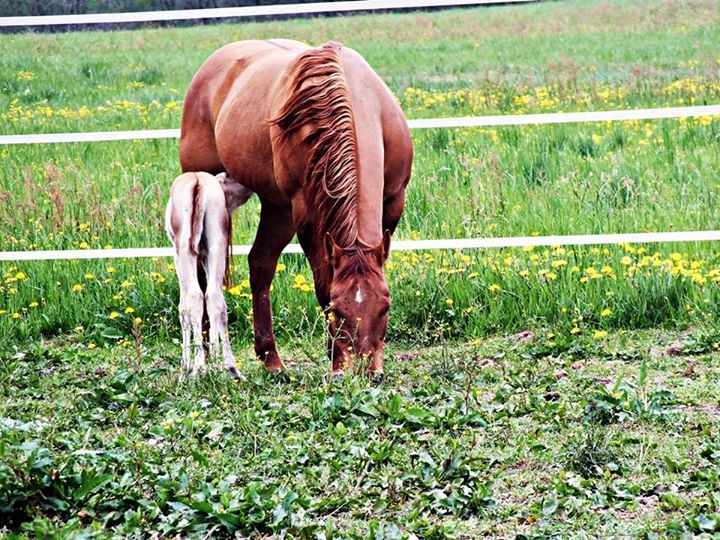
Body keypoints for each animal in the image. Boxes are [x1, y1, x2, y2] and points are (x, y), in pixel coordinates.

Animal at [166, 173, 253, 380]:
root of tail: (198, 182)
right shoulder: (206, 256)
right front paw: (216, 358)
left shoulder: (177, 256)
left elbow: (183, 308)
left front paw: (185, 366)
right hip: (217, 246)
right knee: (215, 298)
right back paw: (227, 367)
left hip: (185, 249)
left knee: (196, 297)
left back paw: (198, 367)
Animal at [180, 39, 414, 376]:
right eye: (338, 310)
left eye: (385, 306)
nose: (368, 372)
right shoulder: (305, 215)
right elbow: (323, 284)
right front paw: (336, 362)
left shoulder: (393, 202)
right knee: (202, 274)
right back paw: (206, 356)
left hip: (276, 207)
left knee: (260, 264)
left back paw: (271, 359)